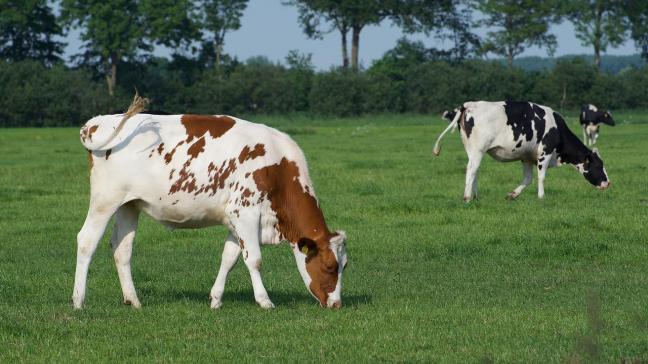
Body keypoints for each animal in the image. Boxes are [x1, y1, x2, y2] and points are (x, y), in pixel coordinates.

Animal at [73, 94, 346, 310]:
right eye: (330, 267)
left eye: (344, 265)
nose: (336, 304)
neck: (277, 168)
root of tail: (96, 123)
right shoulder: (245, 213)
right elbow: (254, 259)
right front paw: (264, 300)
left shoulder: (236, 221)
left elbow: (229, 259)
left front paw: (215, 299)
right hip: (105, 200)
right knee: (87, 241)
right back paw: (78, 301)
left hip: (129, 204)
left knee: (122, 248)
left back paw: (133, 300)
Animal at [432, 101, 612, 200]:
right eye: (598, 165)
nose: (608, 183)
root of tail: (470, 104)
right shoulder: (545, 153)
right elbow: (541, 177)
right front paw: (541, 197)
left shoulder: (526, 157)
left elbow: (528, 179)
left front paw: (513, 195)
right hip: (478, 149)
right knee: (471, 169)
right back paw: (467, 197)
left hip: (472, 149)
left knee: (474, 170)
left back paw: (476, 196)